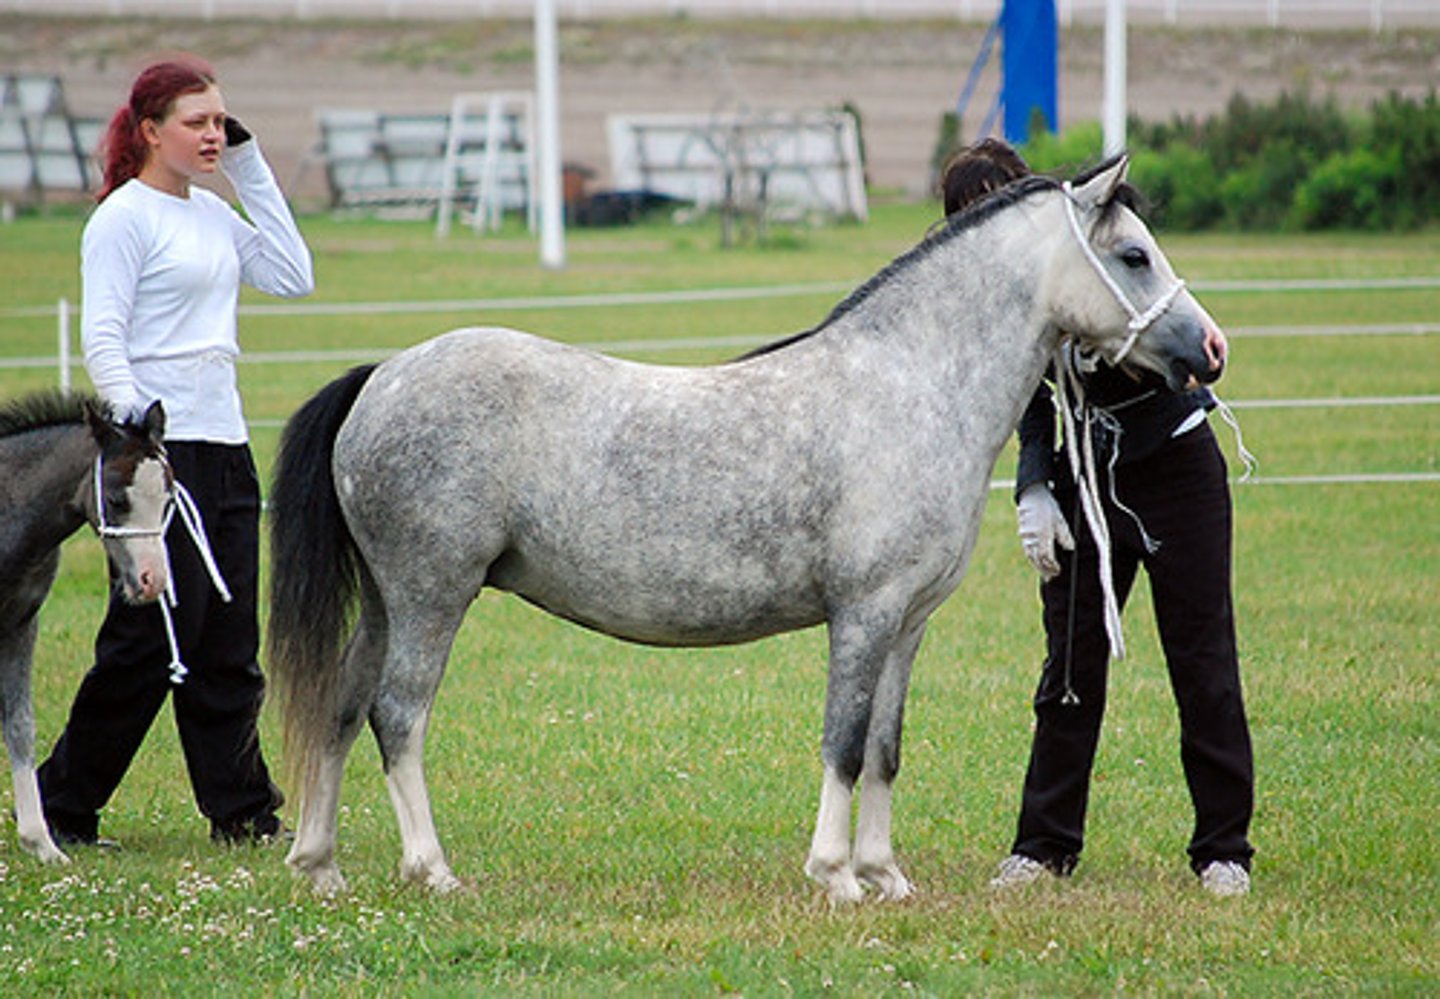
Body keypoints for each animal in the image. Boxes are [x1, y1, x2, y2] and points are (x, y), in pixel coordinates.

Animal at [0, 392, 171, 863]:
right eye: (115, 499)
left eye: (168, 498)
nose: (153, 581)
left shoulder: (20, 625)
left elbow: (20, 725)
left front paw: (41, 844)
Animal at [268, 155, 1225, 900]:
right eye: (1134, 254)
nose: (1210, 351)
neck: (907, 384)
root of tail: (382, 375)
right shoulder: (864, 613)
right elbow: (844, 741)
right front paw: (836, 875)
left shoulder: (908, 624)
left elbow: (885, 748)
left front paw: (885, 875)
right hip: (432, 596)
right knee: (399, 714)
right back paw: (431, 869)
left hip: (388, 602)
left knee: (343, 705)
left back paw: (321, 865)